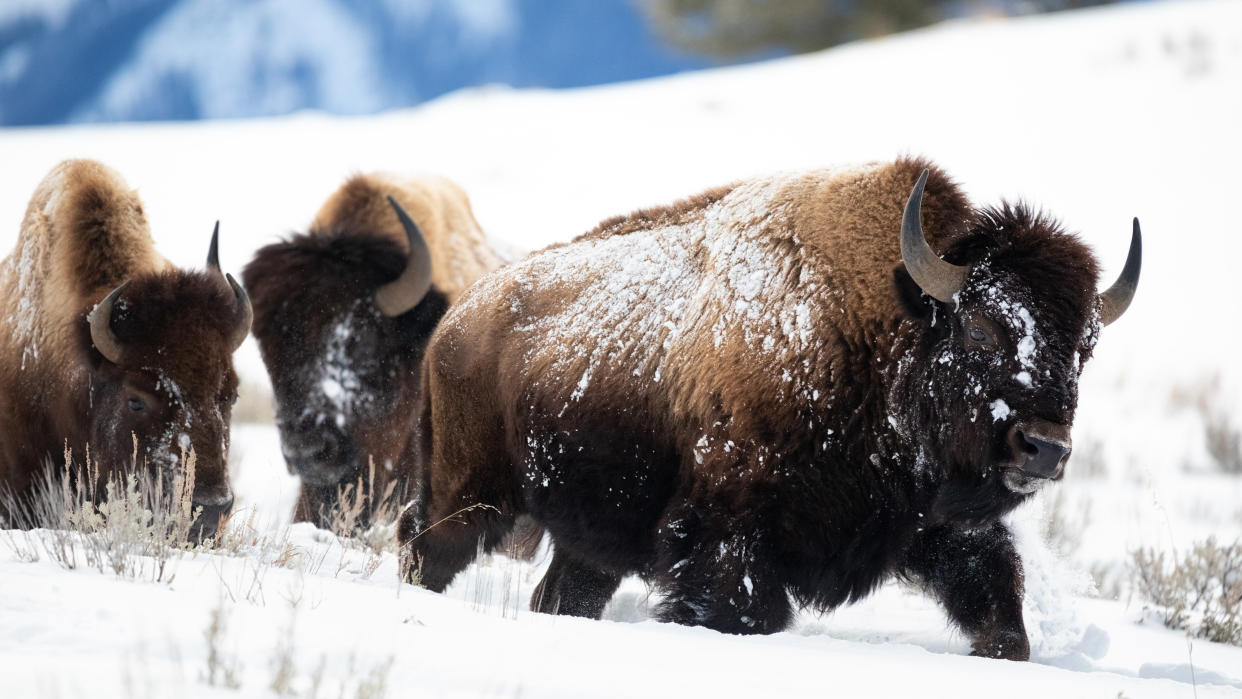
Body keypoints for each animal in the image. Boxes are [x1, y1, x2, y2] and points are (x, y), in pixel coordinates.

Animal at [402, 155, 1137, 660]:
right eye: (982, 326)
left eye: (1085, 349)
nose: (1045, 447)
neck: (882, 331)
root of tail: (455, 323)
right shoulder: (727, 535)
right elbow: (743, 609)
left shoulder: (932, 523)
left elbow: (998, 605)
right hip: (468, 495)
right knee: (425, 546)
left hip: (588, 537)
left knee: (561, 592)